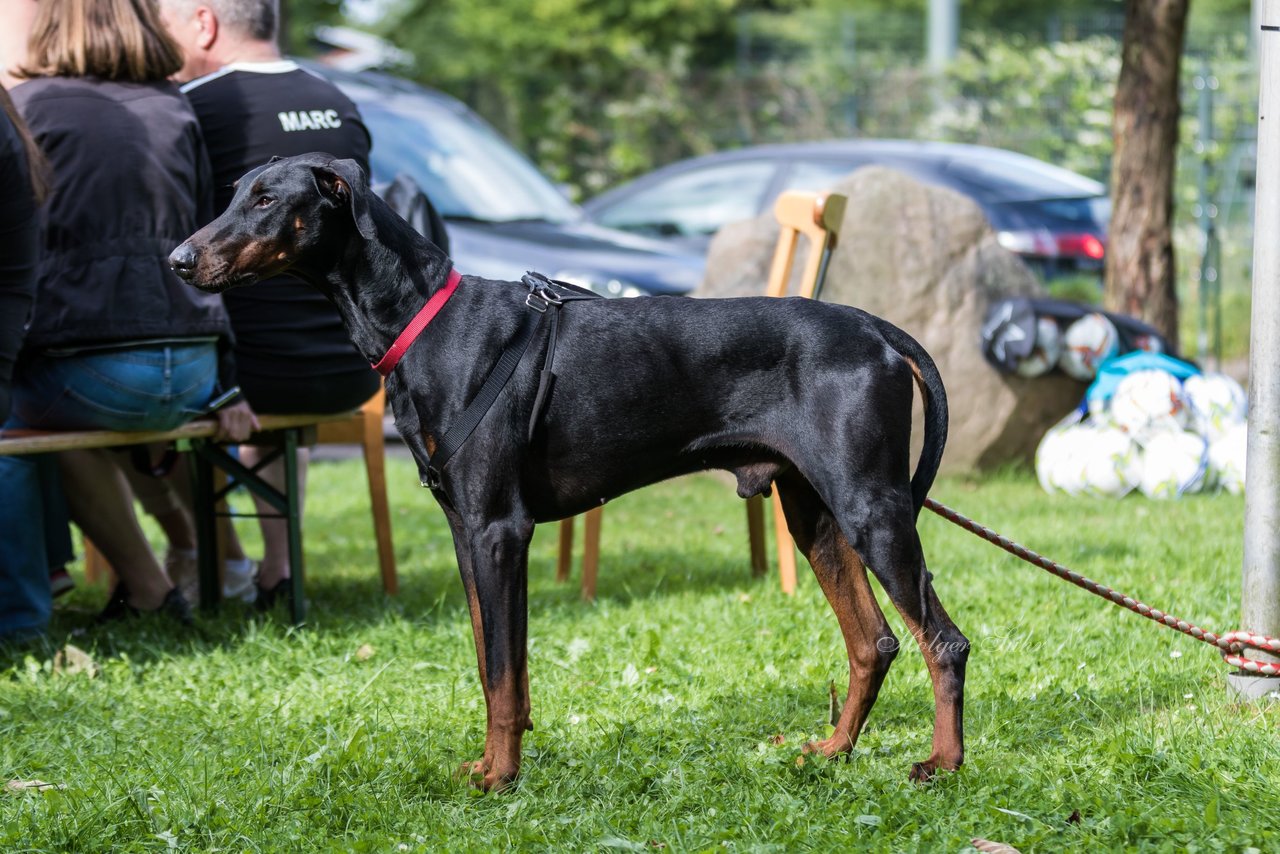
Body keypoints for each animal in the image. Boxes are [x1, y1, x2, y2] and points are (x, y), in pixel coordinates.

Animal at [172, 153, 967, 793]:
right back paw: (833, 750)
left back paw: (943, 763)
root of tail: (874, 327)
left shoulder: (498, 530)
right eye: (235, 192)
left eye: (267, 199)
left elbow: (499, 671)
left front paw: (498, 778)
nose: (178, 260)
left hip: (871, 509)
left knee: (943, 640)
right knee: (874, 642)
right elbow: (498, 664)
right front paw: (497, 762)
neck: (425, 320)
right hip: (814, 513)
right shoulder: (467, 533)